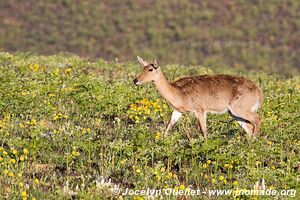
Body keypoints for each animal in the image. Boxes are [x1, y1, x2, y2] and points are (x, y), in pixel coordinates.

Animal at [134, 56, 262, 138]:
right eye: (142, 68)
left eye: (150, 69)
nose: (135, 80)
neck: (178, 92)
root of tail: (258, 92)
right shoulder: (177, 111)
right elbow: (168, 126)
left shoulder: (200, 110)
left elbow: (204, 130)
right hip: (234, 113)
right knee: (249, 128)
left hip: (240, 109)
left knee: (258, 119)